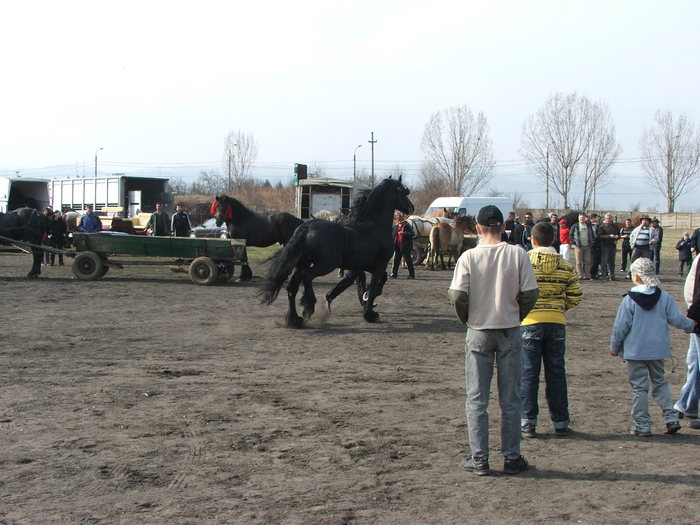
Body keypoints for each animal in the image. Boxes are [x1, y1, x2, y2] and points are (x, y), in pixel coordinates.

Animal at [258, 176, 412, 328]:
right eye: (404, 191)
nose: (411, 207)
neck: (374, 226)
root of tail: (306, 227)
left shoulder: (366, 265)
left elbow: (381, 280)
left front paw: (367, 297)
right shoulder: (380, 264)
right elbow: (375, 286)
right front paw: (370, 314)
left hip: (304, 263)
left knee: (292, 287)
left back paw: (295, 319)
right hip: (325, 265)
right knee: (307, 277)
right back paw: (308, 307)